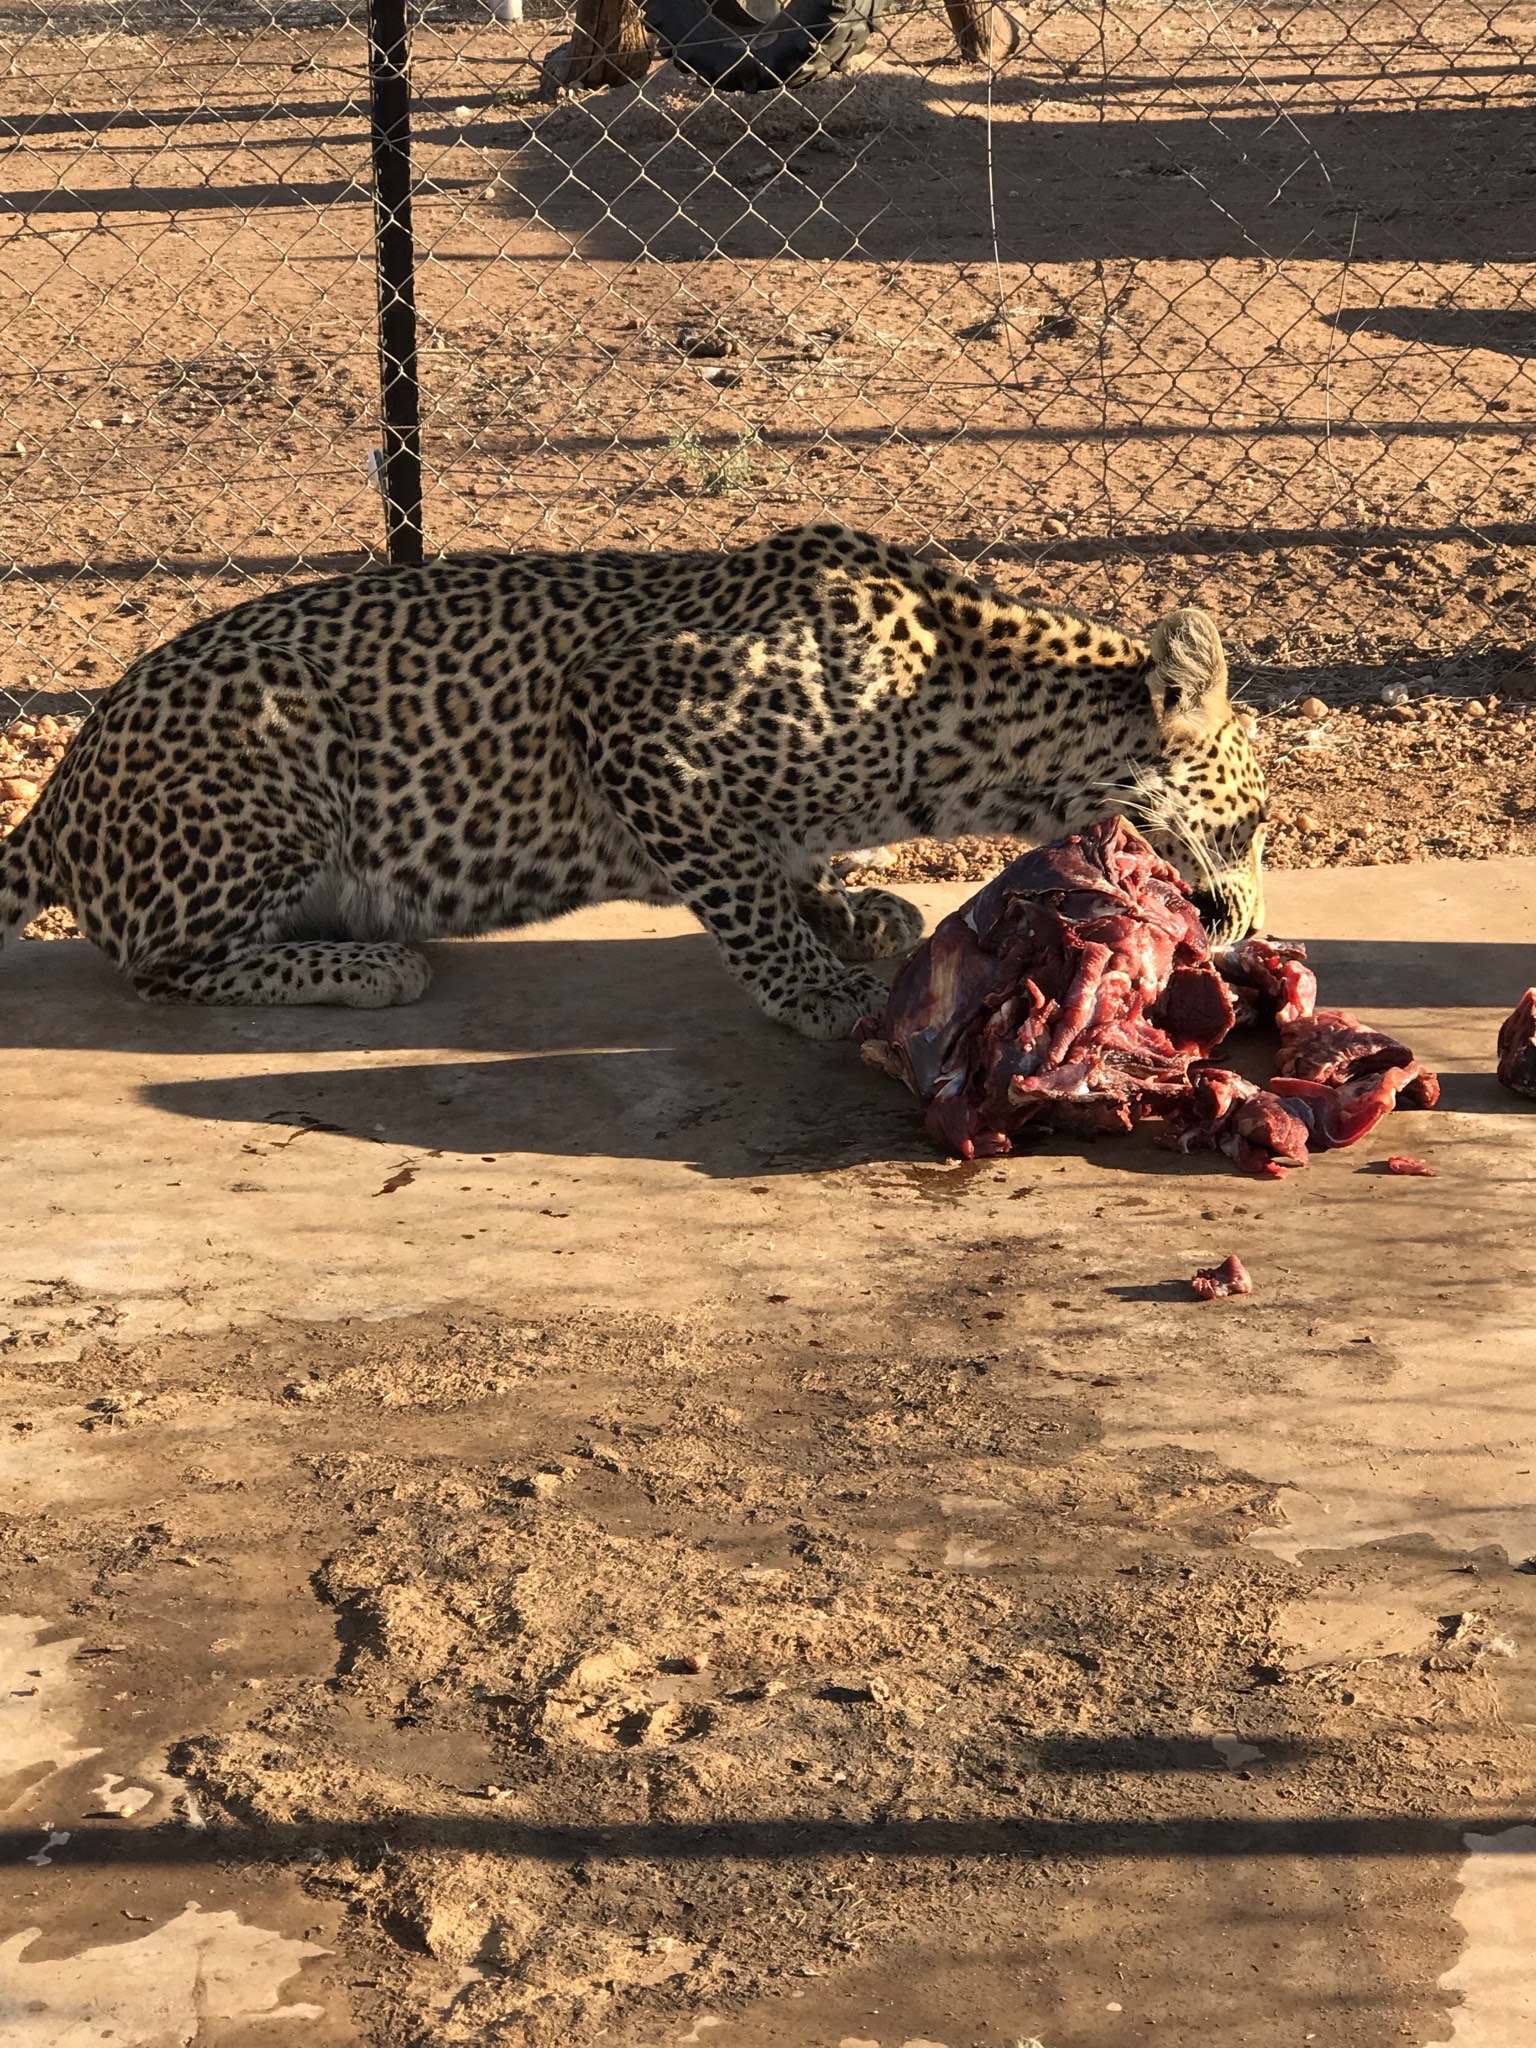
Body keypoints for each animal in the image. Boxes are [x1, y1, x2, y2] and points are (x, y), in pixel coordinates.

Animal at [0, 522, 1267, 1040]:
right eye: (1251, 824)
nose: (1250, 922)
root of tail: (58, 794)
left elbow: (782, 865)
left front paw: (852, 907)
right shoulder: (632, 712)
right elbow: (741, 897)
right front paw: (818, 988)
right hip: (278, 736)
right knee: (158, 966)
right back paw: (365, 964)